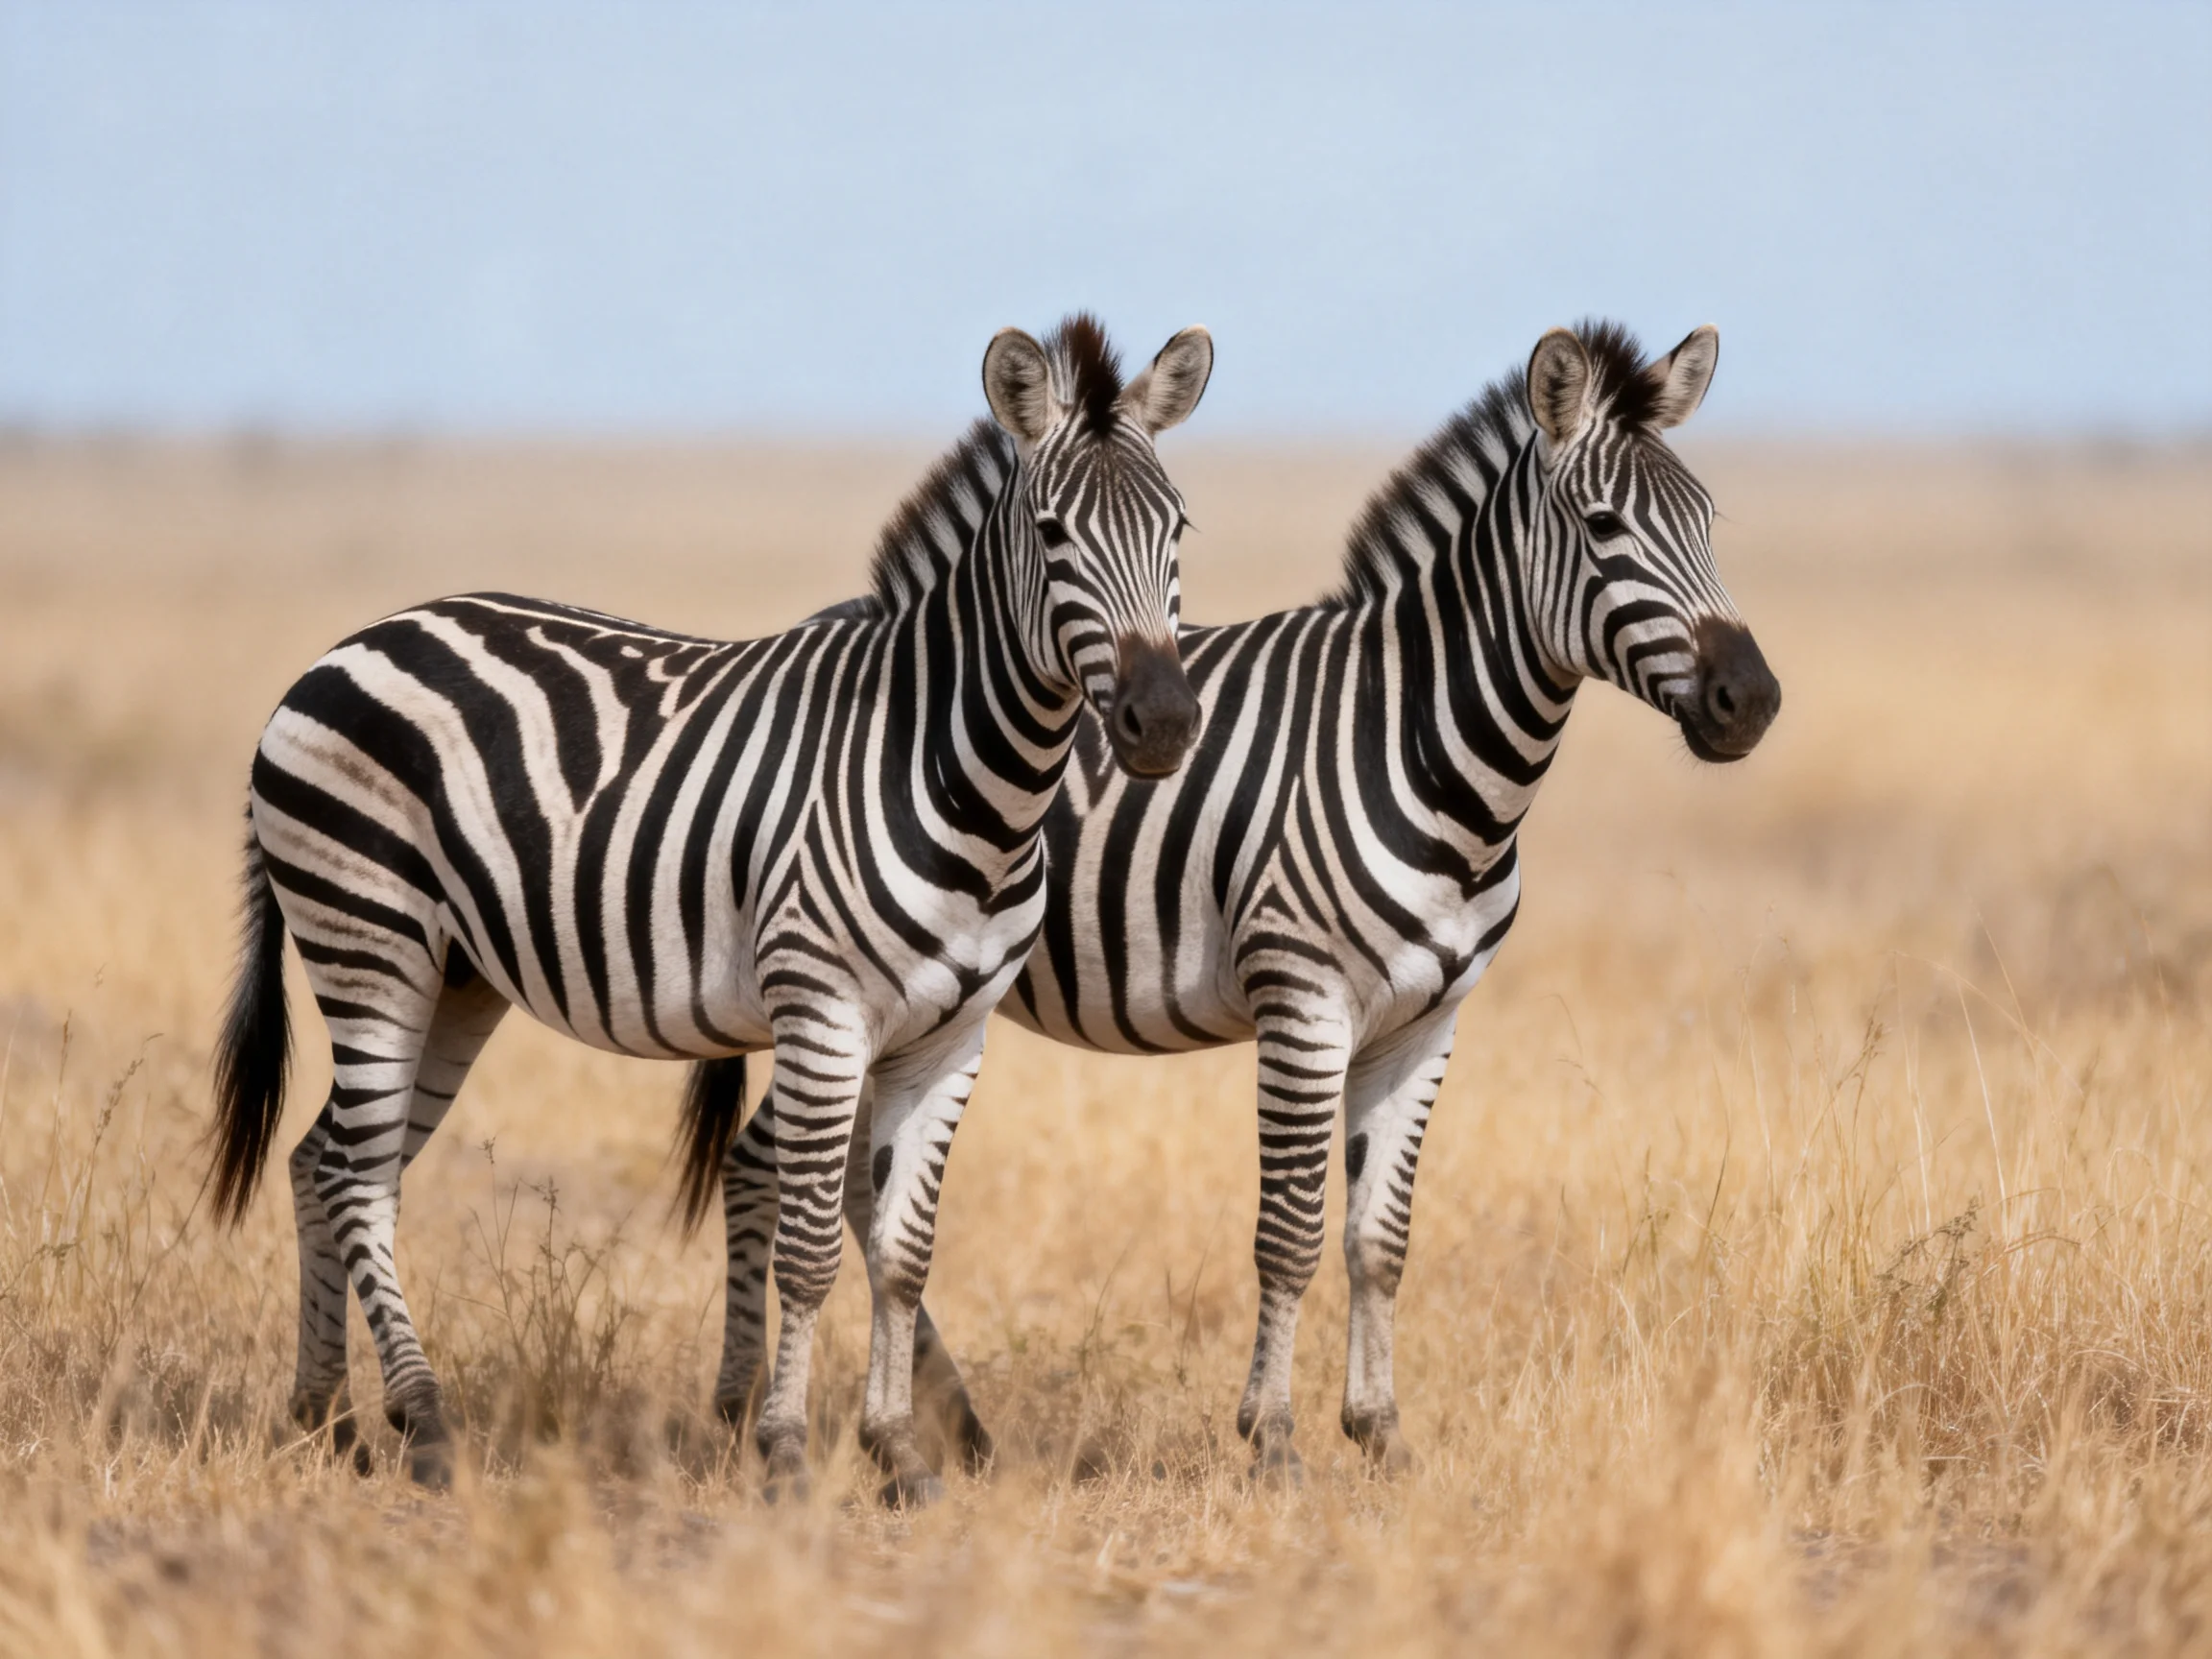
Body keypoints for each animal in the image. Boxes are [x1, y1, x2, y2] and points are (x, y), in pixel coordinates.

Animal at [208, 314, 1214, 1503]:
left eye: (1179, 529)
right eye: (1054, 536)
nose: (1162, 724)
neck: (959, 777)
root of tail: (334, 655)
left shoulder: (950, 1038)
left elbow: (905, 1255)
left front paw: (898, 1455)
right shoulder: (823, 1015)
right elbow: (812, 1247)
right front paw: (784, 1453)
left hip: (453, 980)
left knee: (319, 1162)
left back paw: (328, 1422)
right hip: (369, 940)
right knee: (356, 1176)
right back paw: (424, 1424)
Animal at [711, 320, 1779, 1481]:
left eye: (1708, 520)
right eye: (1602, 525)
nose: (1753, 701)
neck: (1421, 748)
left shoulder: (1428, 1021)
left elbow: (1380, 1239)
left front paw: (1381, 1433)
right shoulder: (1303, 1003)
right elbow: (1293, 1232)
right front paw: (1272, 1441)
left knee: (826, 1179)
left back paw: (939, 1428)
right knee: (776, 1166)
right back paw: (749, 1415)